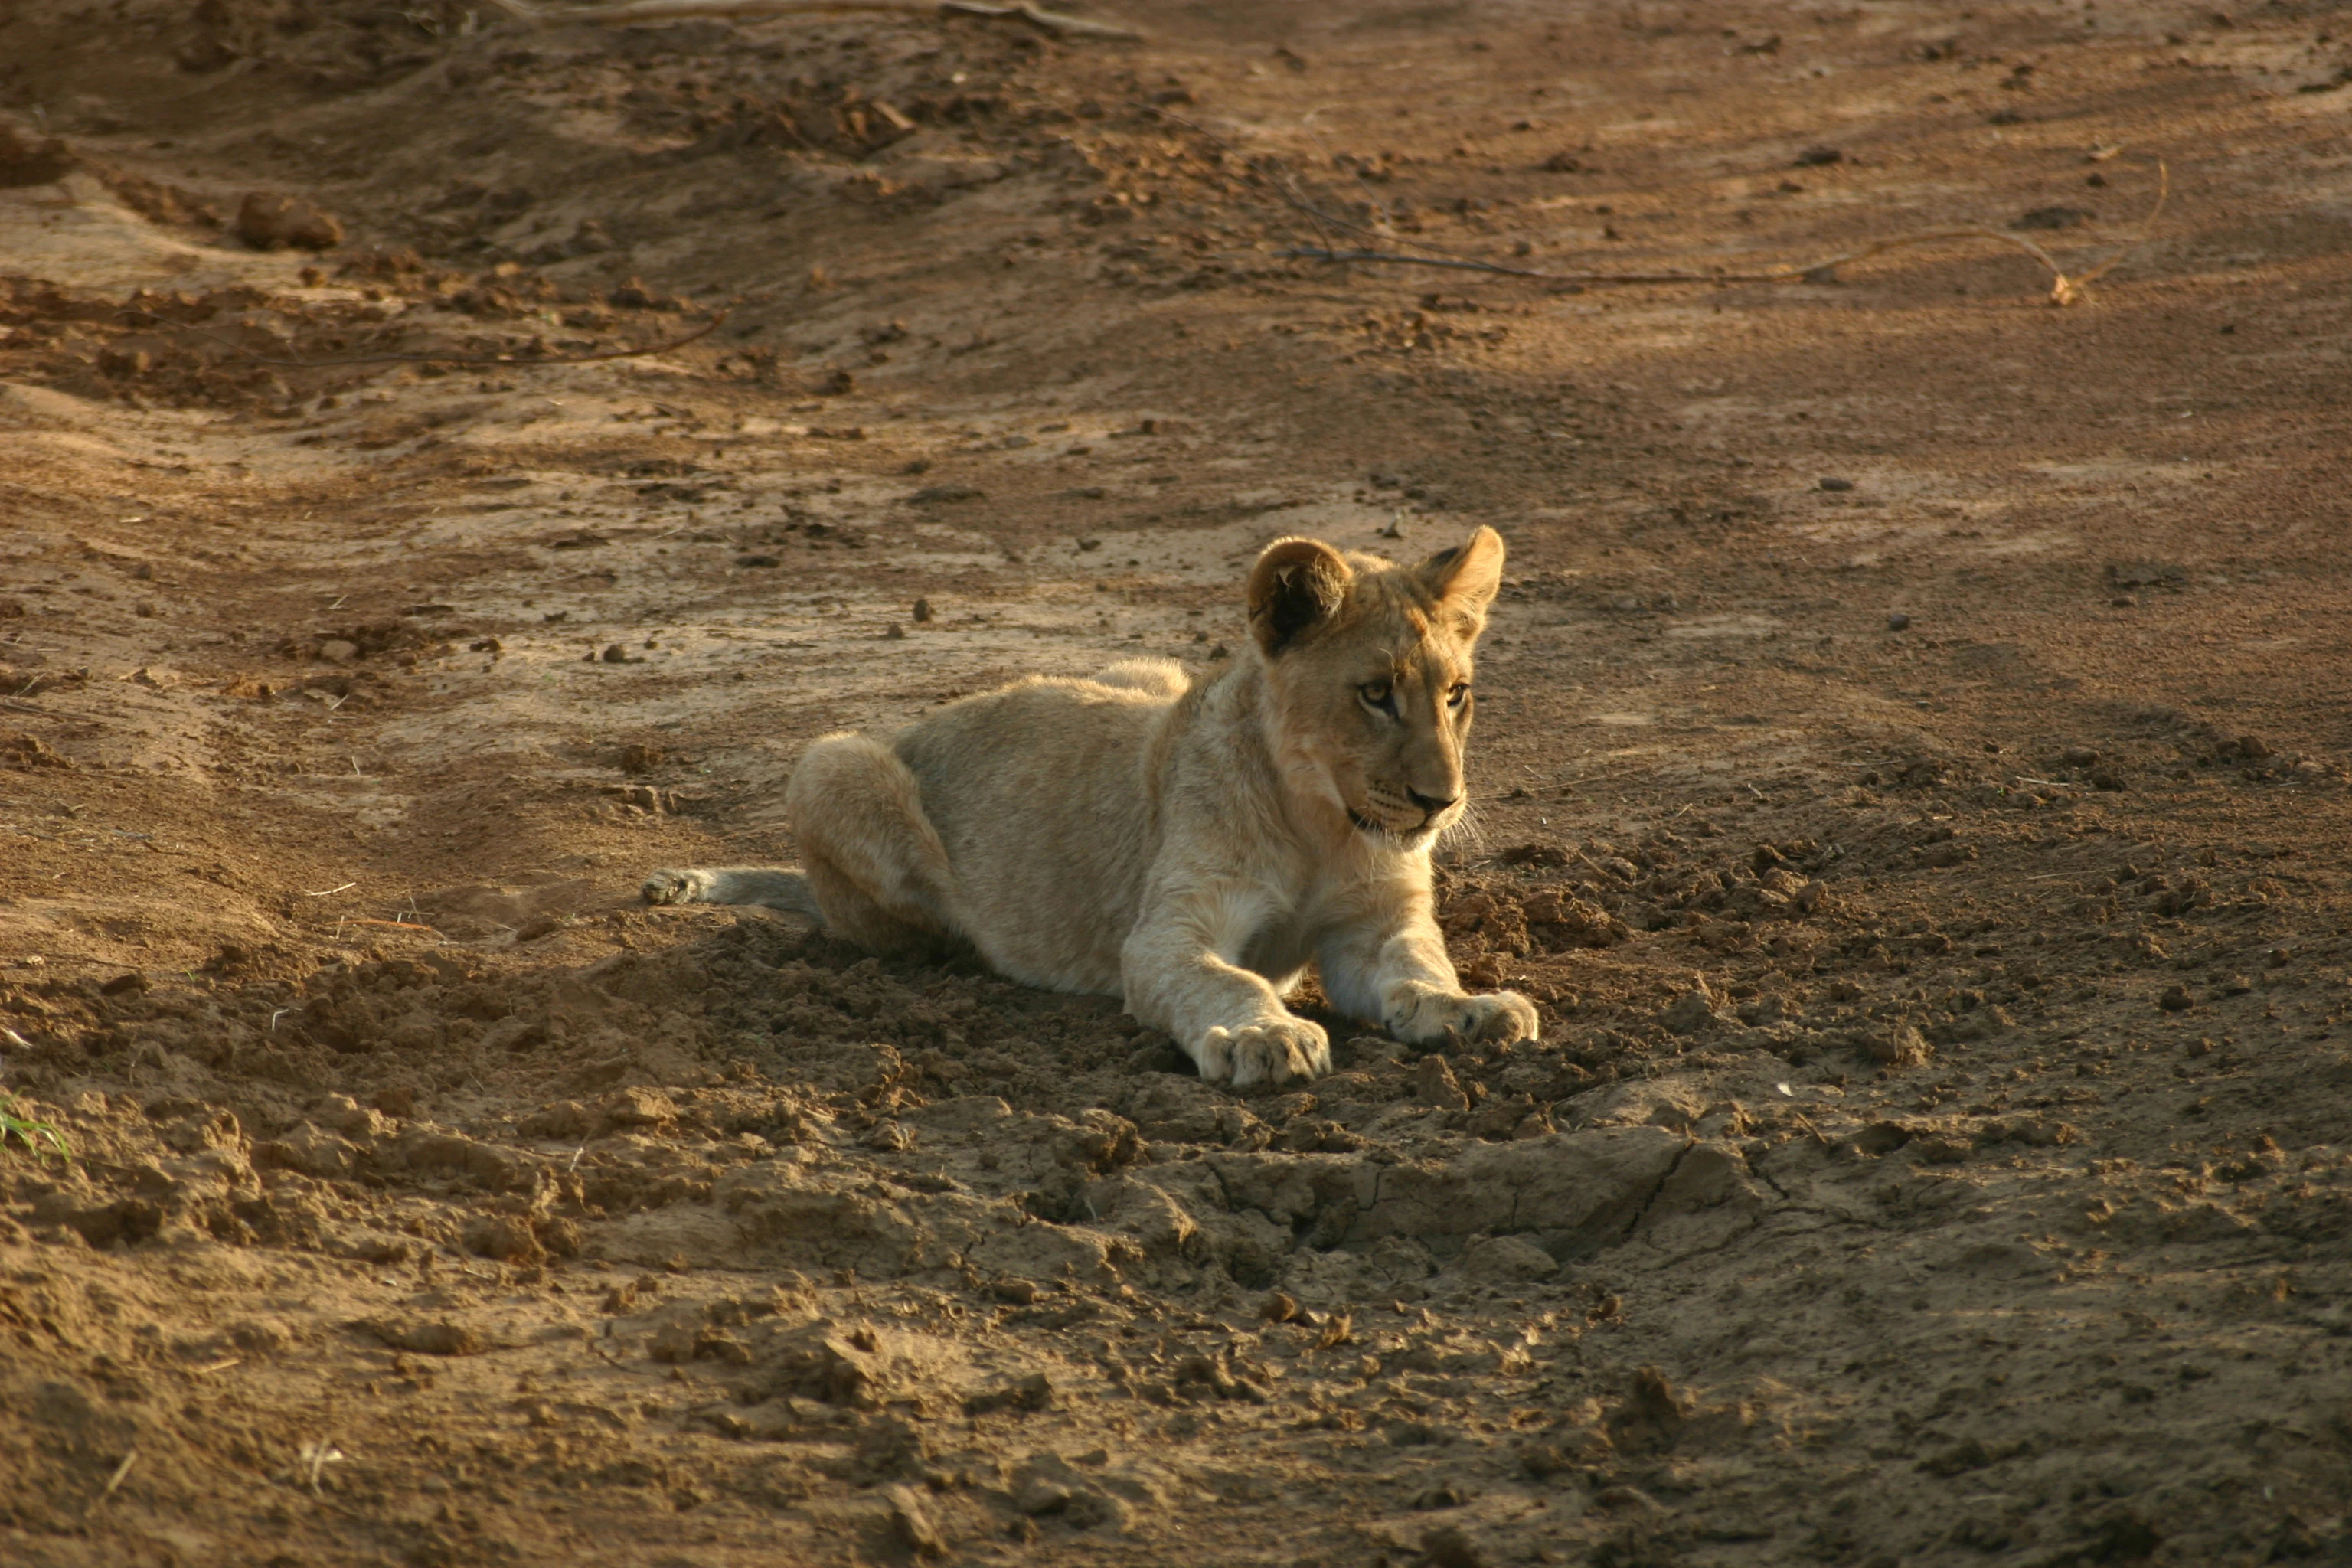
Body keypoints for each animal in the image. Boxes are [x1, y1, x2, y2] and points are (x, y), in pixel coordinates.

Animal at [642, 526, 1539, 1087]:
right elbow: (1226, 980)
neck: (1323, 825)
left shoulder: (1374, 926)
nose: (1441, 801)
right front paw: (1268, 1035)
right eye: (1376, 693)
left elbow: (1419, 968)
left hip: (1146, 668)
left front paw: (1472, 1010)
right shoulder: (1165, 935)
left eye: (1455, 694)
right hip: (829, 761)